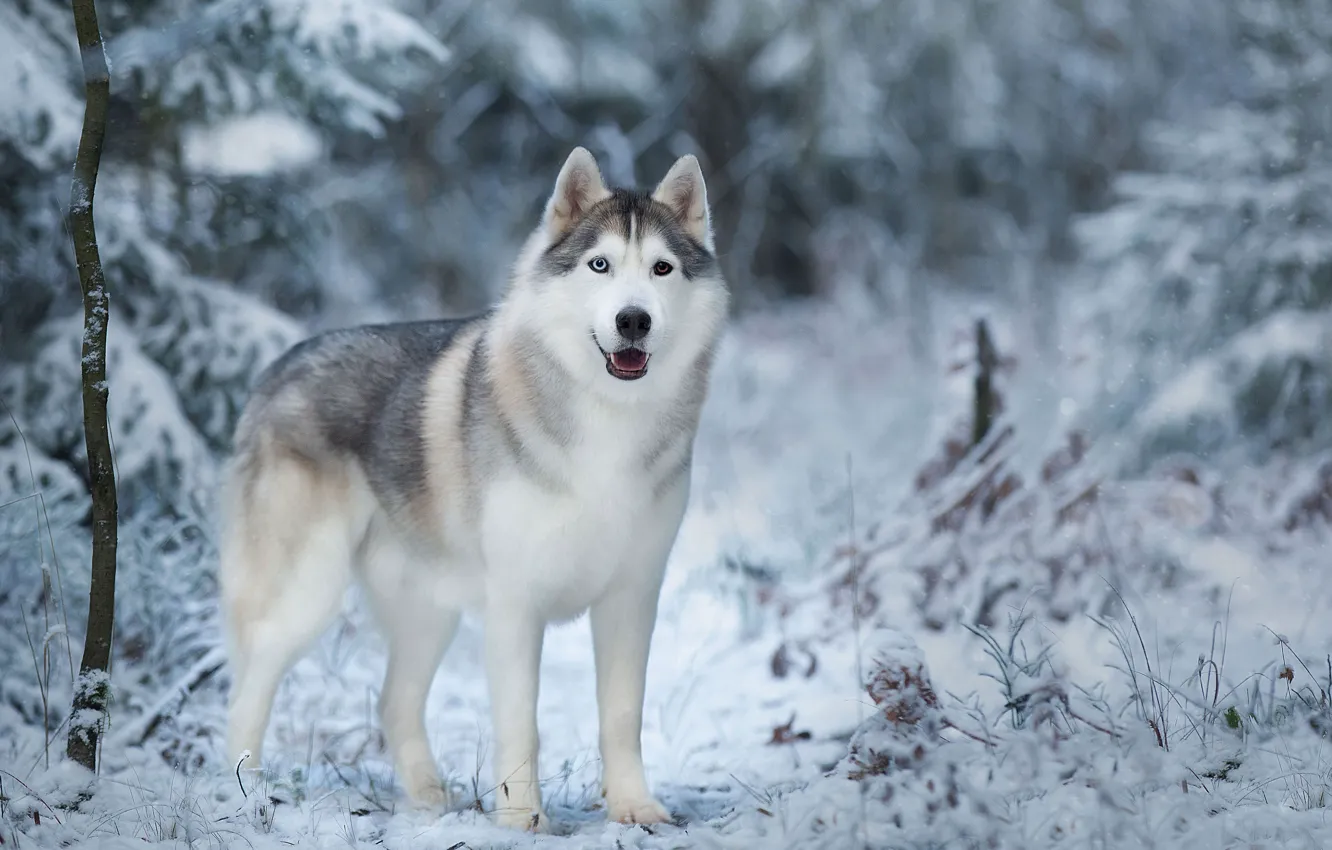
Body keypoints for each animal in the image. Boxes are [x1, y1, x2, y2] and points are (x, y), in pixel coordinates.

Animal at [218, 147, 729, 831]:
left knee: (393, 703)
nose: (633, 320)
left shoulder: (631, 598)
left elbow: (622, 718)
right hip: (306, 594)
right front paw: (522, 820)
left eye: (661, 268)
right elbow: (521, 725)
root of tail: (277, 367)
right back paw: (244, 796)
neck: (606, 422)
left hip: (428, 610)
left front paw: (635, 808)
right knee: (247, 692)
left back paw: (431, 800)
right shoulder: (516, 605)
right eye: (600, 265)